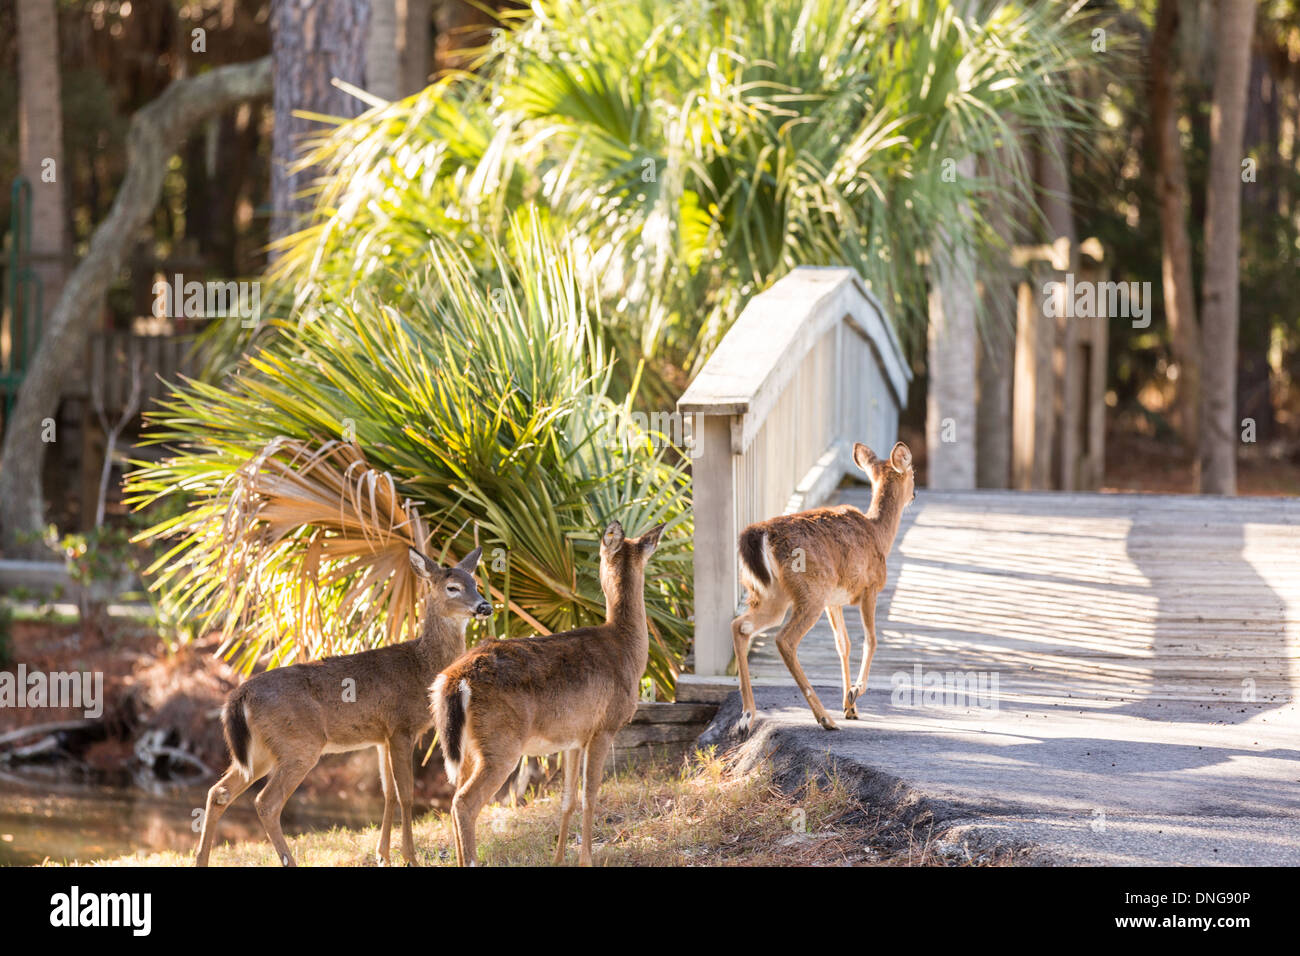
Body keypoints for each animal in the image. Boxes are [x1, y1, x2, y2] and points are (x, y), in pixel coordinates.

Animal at [193, 546, 491, 868]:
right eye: (453, 587)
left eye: (475, 583)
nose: (485, 606)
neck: (422, 666)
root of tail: (240, 694)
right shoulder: (402, 727)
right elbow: (406, 794)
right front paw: (410, 857)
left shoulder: (382, 736)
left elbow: (387, 793)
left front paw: (383, 855)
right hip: (299, 744)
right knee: (266, 802)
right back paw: (289, 860)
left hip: (260, 750)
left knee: (219, 791)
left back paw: (200, 860)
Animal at [431, 522, 665, 868]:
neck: (625, 649)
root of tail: (454, 678)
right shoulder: (605, 727)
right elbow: (590, 796)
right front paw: (587, 860)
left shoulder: (573, 737)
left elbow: (568, 799)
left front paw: (558, 859)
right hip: (502, 744)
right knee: (464, 802)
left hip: (470, 746)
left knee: (453, 799)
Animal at [733, 442, 915, 733]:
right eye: (913, 473)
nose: (915, 494)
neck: (879, 534)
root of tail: (760, 534)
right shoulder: (870, 587)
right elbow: (871, 639)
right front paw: (855, 691)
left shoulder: (835, 601)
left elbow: (844, 644)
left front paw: (850, 706)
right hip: (810, 592)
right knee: (784, 639)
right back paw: (824, 718)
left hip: (772, 595)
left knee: (741, 626)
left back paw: (746, 717)